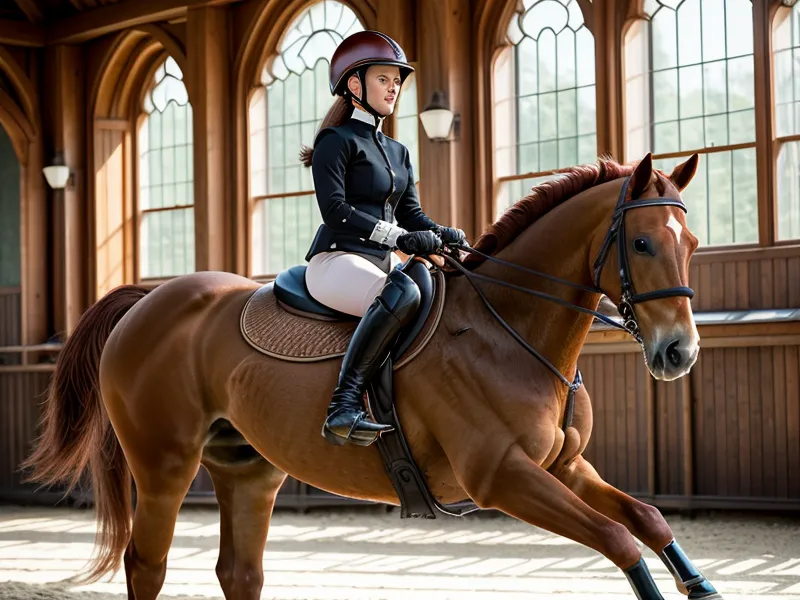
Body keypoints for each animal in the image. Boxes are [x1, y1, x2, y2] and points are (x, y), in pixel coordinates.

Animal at [22, 152, 721, 600]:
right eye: (641, 244)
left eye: (691, 244)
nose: (678, 353)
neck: (510, 326)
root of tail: (148, 299)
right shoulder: (505, 477)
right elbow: (619, 539)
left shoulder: (562, 466)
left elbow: (650, 521)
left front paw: (702, 584)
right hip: (163, 464)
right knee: (148, 565)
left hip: (248, 471)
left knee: (239, 573)